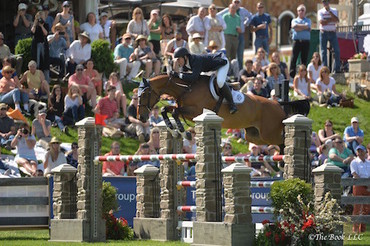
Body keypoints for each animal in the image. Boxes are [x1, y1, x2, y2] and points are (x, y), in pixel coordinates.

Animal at [137, 74, 308, 145]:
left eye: (144, 94)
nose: (142, 118)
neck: (186, 89)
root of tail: (279, 105)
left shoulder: (196, 112)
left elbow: (174, 112)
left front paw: (183, 131)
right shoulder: (184, 108)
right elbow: (166, 110)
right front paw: (175, 130)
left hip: (268, 134)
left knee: (283, 142)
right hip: (254, 136)